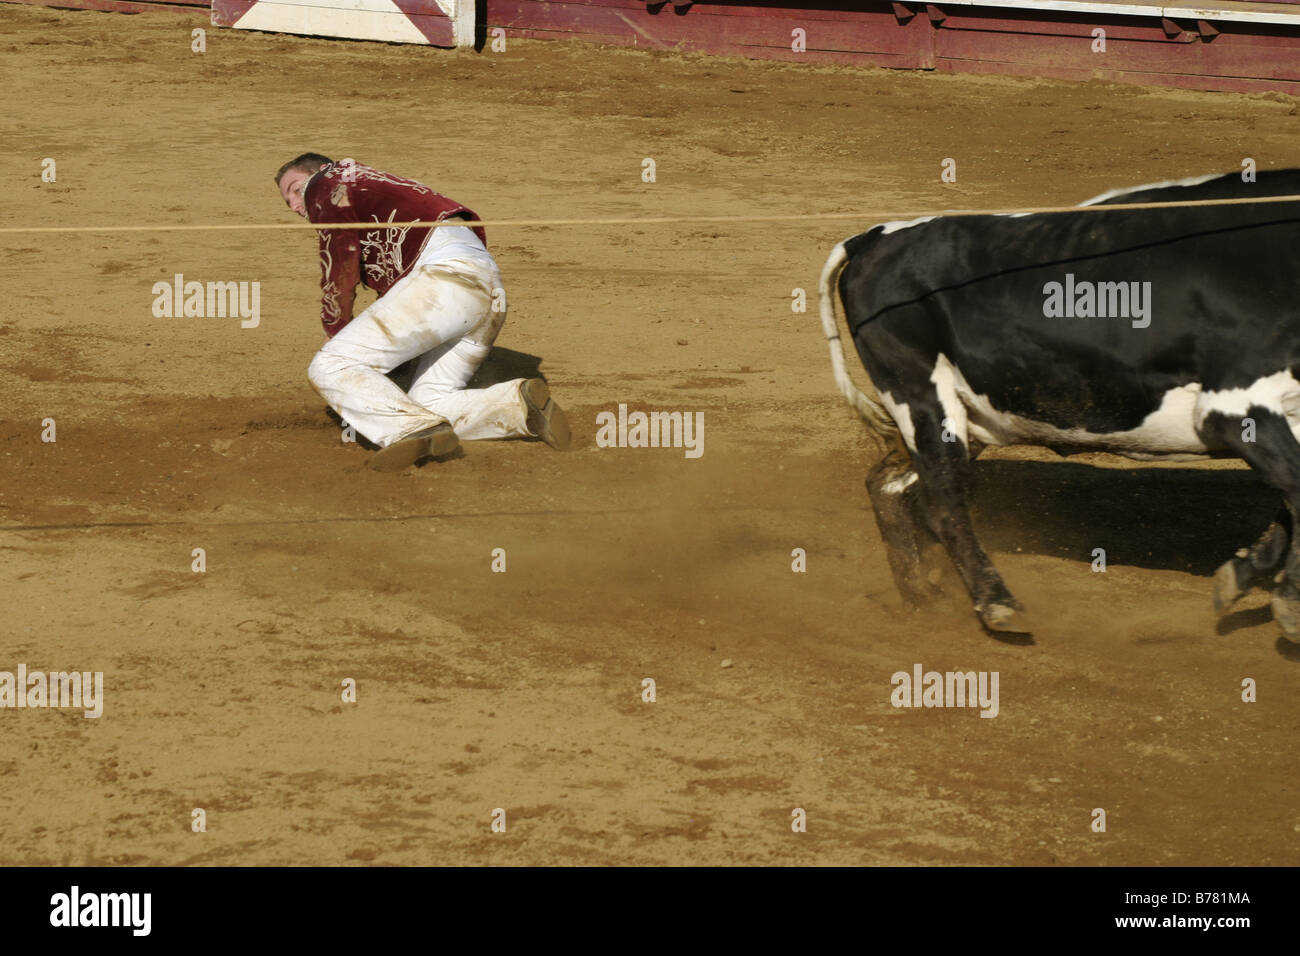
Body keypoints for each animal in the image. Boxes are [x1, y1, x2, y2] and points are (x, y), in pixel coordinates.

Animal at [821, 171, 1300, 642]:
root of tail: (874, 238)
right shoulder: (1234, 406)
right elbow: (1297, 490)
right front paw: (1286, 604)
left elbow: (1290, 502)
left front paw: (1253, 582)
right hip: (921, 395)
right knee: (943, 500)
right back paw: (997, 604)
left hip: (961, 417)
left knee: (887, 485)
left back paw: (923, 597)